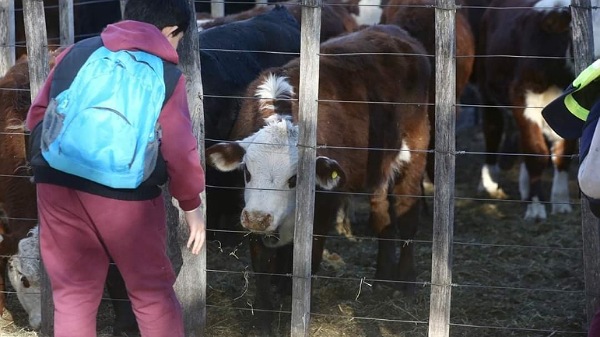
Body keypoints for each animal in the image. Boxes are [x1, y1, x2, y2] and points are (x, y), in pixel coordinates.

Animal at [206, 24, 432, 334]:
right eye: (247, 172)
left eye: (294, 179)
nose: (257, 218)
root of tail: (394, 32)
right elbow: (262, 267)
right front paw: (265, 321)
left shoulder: (323, 208)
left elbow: (306, 264)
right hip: (378, 170)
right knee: (382, 215)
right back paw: (382, 278)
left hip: (414, 154)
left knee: (408, 215)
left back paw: (405, 283)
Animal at [474, 0, 580, 219]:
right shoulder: (522, 100)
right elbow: (536, 153)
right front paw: (536, 208)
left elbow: (562, 154)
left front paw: (560, 202)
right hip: (486, 91)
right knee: (493, 129)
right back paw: (488, 181)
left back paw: (524, 188)